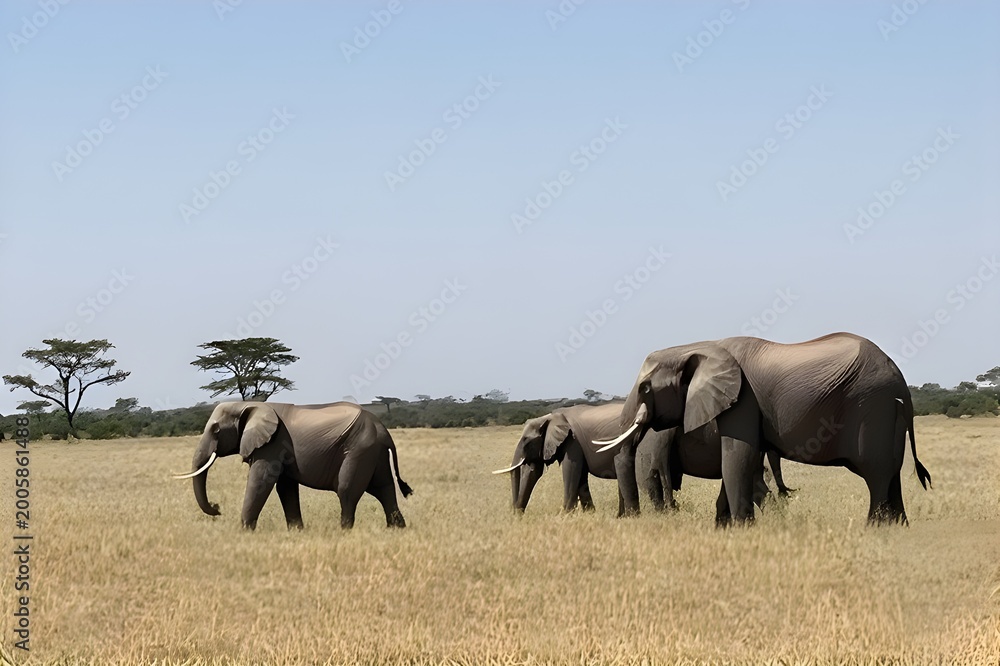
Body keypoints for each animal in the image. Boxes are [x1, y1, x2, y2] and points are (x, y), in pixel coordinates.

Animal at [173, 401, 412, 530]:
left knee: (347, 491)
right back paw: (396, 530)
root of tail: (384, 431)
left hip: (359, 449)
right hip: (373, 452)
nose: (217, 507)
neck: (248, 404)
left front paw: (244, 532)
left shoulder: (272, 444)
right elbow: (285, 487)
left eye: (216, 430)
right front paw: (297, 531)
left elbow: (261, 481)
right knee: (384, 488)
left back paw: (344, 532)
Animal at [492, 402, 788, 518]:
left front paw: (565, 515)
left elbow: (572, 473)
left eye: (526, 441)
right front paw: (590, 515)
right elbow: (577, 478)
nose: (516, 515)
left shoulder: (573, 442)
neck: (553, 415)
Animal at [596, 333, 931, 525]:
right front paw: (725, 527)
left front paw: (741, 528)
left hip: (873, 408)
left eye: (646, 388)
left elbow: (738, 458)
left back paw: (875, 528)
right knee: (890, 473)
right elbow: (738, 461)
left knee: (877, 473)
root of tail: (900, 381)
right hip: (887, 413)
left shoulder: (742, 401)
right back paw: (897, 527)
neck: (699, 348)